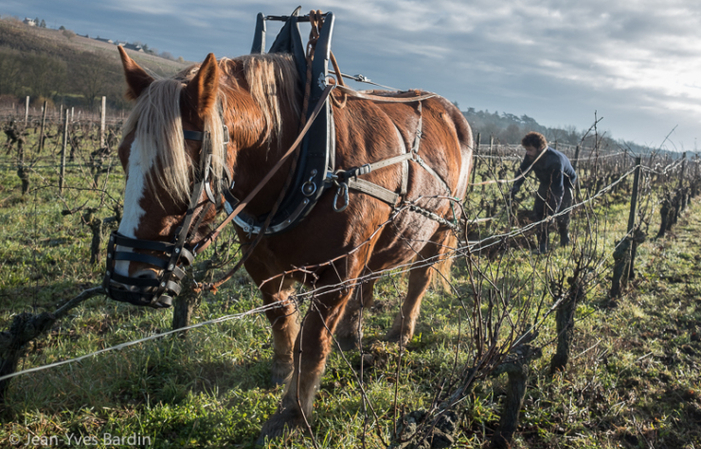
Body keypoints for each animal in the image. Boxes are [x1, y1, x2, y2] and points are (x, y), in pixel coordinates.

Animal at [104, 46, 474, 440]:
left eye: (184, 168)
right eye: (123, 155)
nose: (127, 278)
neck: (304, 159)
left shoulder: (339, 269)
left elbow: (313, 341)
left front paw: (294, 411)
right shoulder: (259, 258)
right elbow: (279, 312)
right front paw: (282, 369)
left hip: (441, 228)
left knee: (419, 279)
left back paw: (400, 333)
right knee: (368, 283)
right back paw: (351, 336)